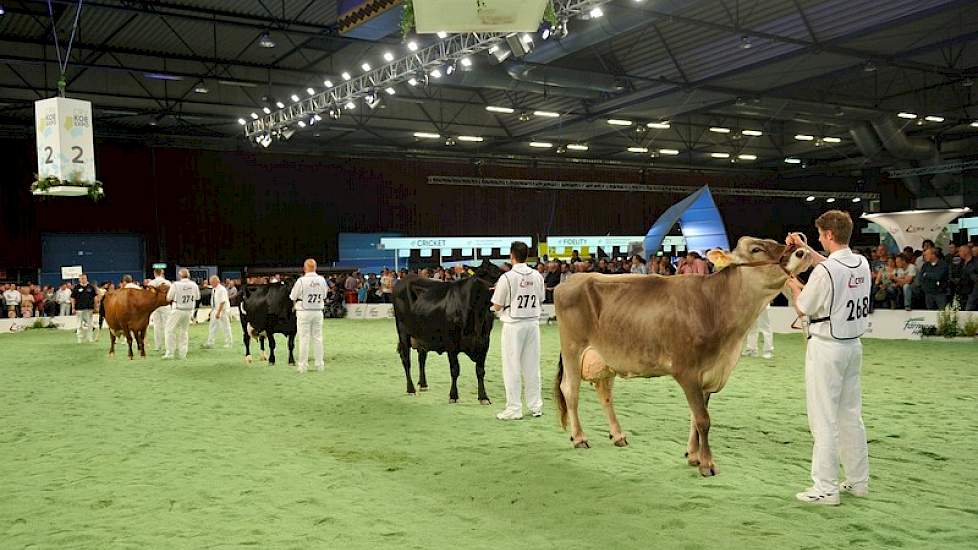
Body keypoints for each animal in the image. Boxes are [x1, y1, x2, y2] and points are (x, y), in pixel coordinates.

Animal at [392, 260, 504, 404]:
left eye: (498, 270)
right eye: (482, 273)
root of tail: (405, 278)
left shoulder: (484, 342)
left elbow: (480, 371)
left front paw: (483, 397)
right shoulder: (451, 342)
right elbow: (455, 369)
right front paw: (453, 395)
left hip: (422, 335)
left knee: (421, 358)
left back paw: (423, 384)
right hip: (402, 331)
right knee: (406, 359)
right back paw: (411, 389)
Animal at [552, 239, 812, 476]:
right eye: (756, 249)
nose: (802, 250)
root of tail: (571, 280)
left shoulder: (707, 375)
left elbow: (695, 418)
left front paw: (694, 456)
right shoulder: (687, 372)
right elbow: (703, 419)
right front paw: (707, 464)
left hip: (606, 358)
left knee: (605, 394)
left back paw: (618, 435)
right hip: (573, 349)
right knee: (570, 391)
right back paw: (579, 438)